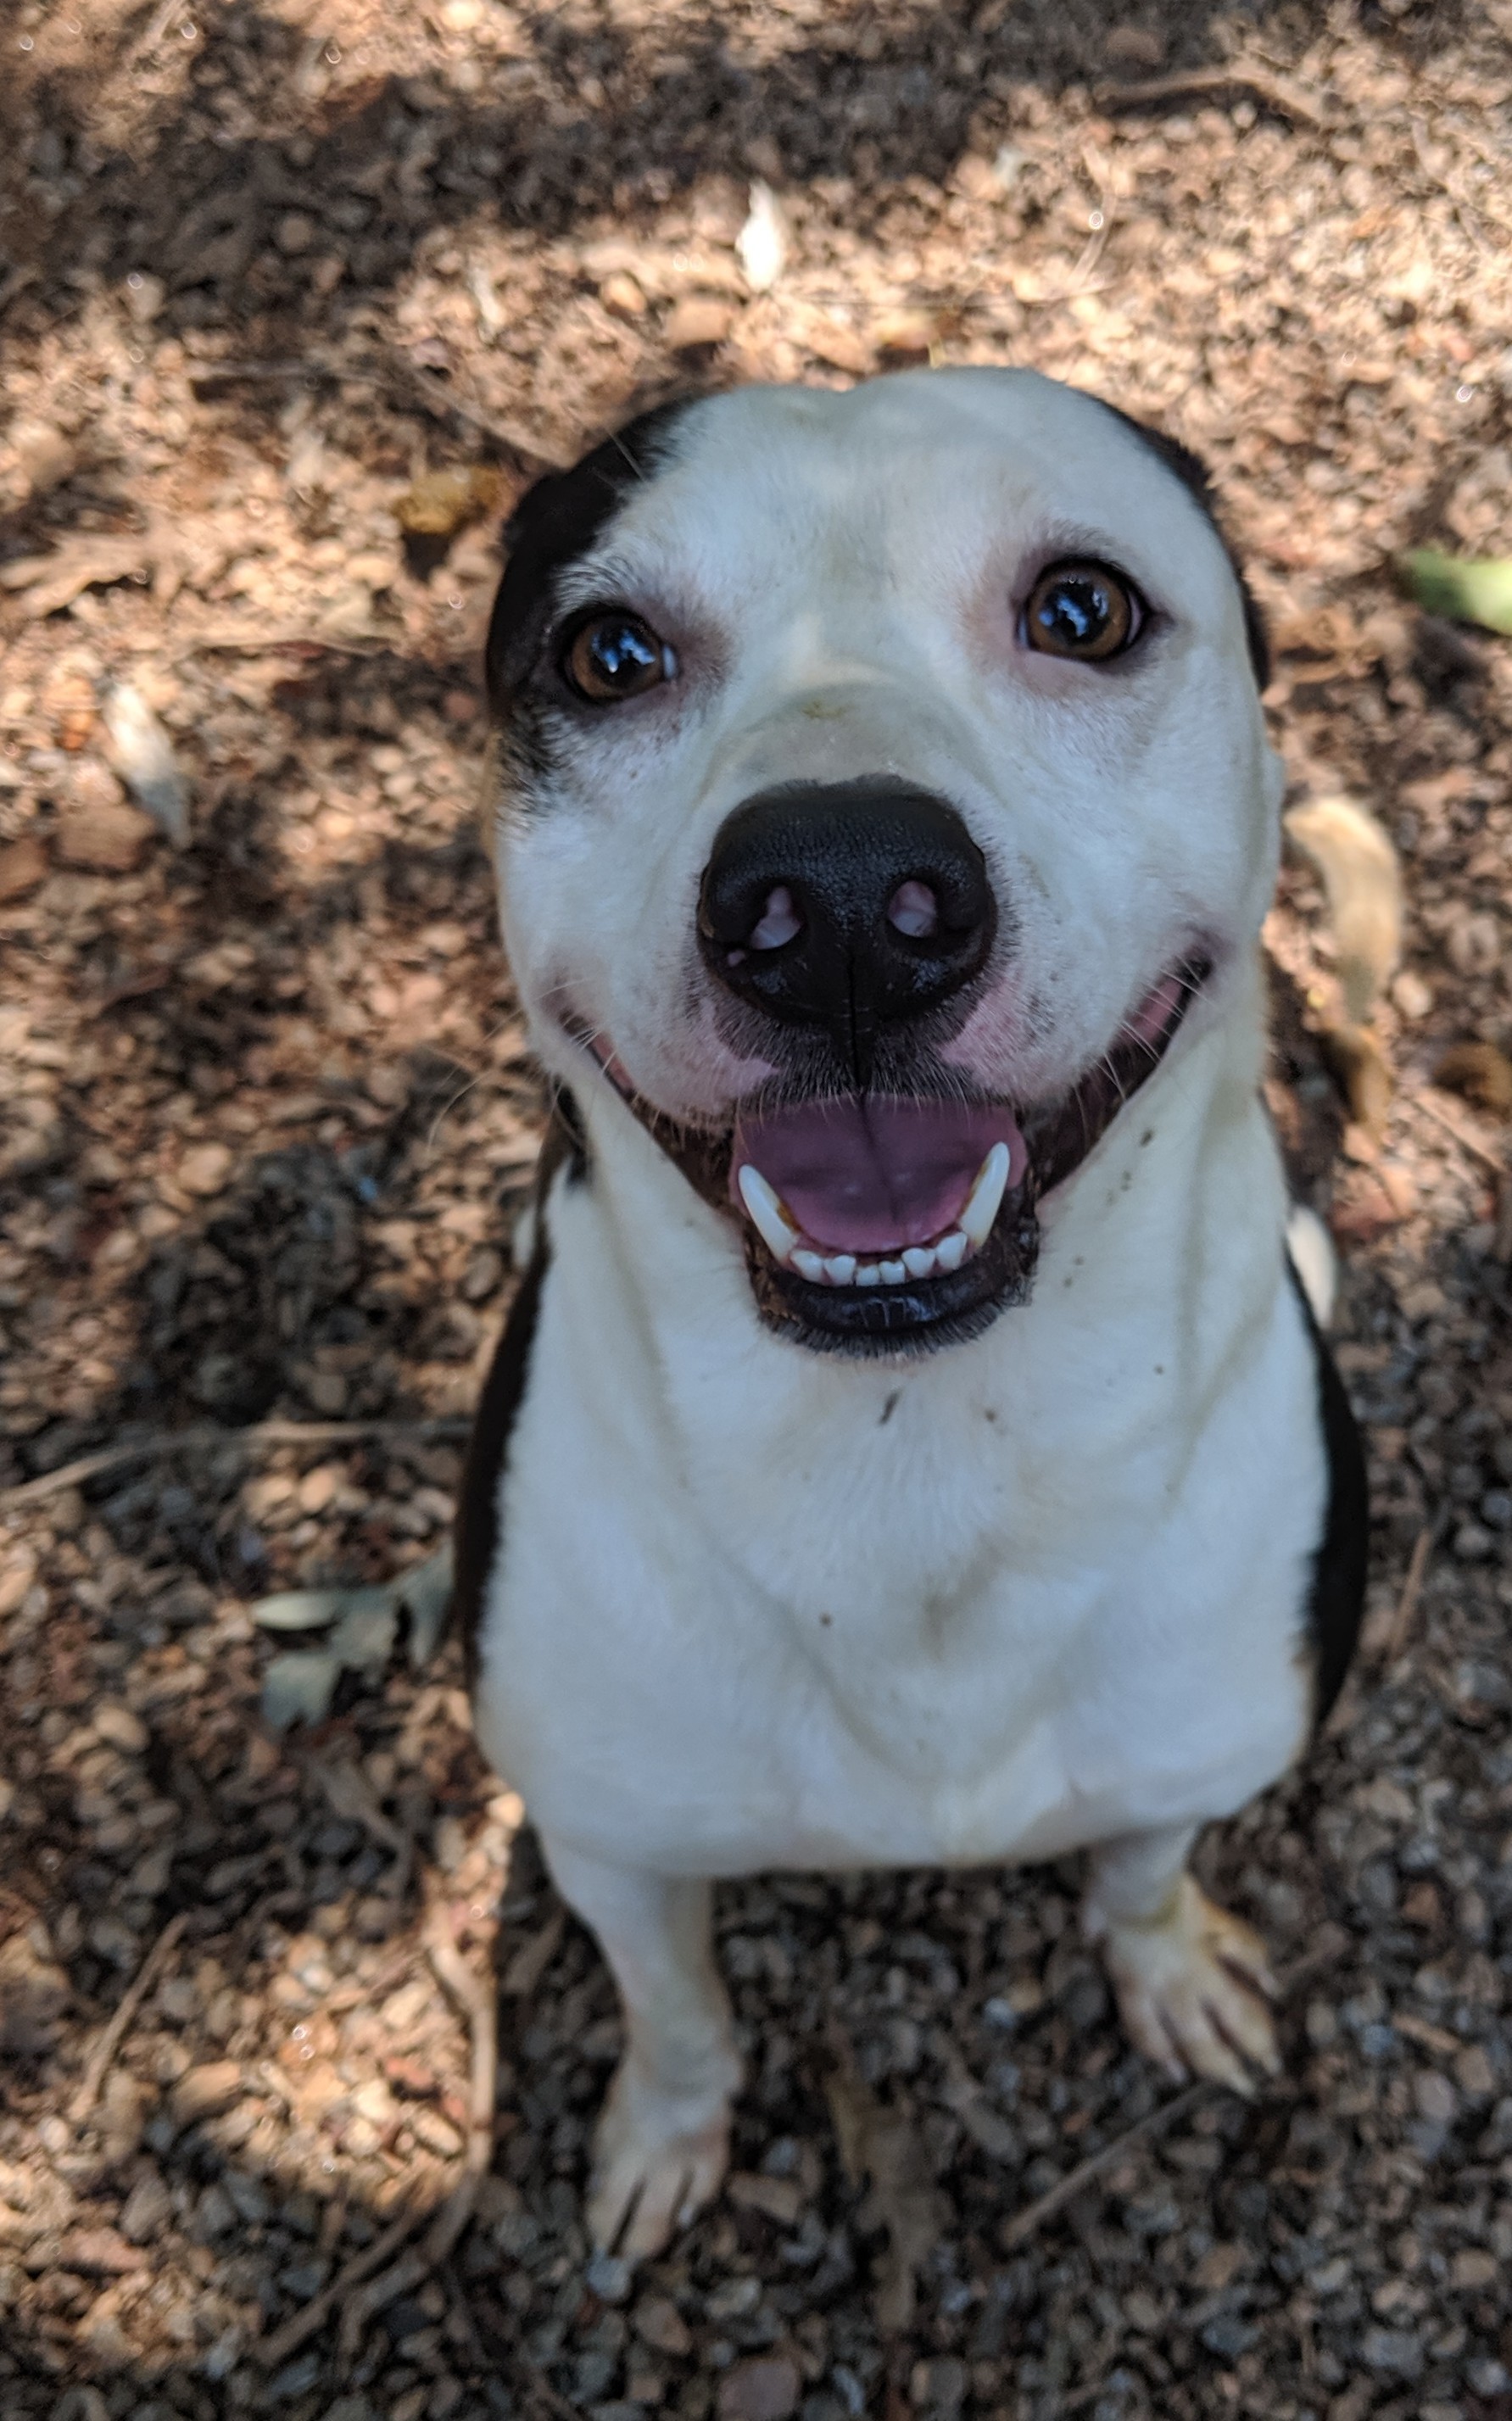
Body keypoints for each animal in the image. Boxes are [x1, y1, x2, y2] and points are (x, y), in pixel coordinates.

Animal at [447, 367, 1364, 2256]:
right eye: (607, 654)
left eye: (1081, 611)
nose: (848, 904)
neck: (910, 1449)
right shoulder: (610, 1838)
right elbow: (674, 2006)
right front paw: (667, 2134)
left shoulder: (1198, 1745)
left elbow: (1144, 1865)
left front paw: (1169, 1965)